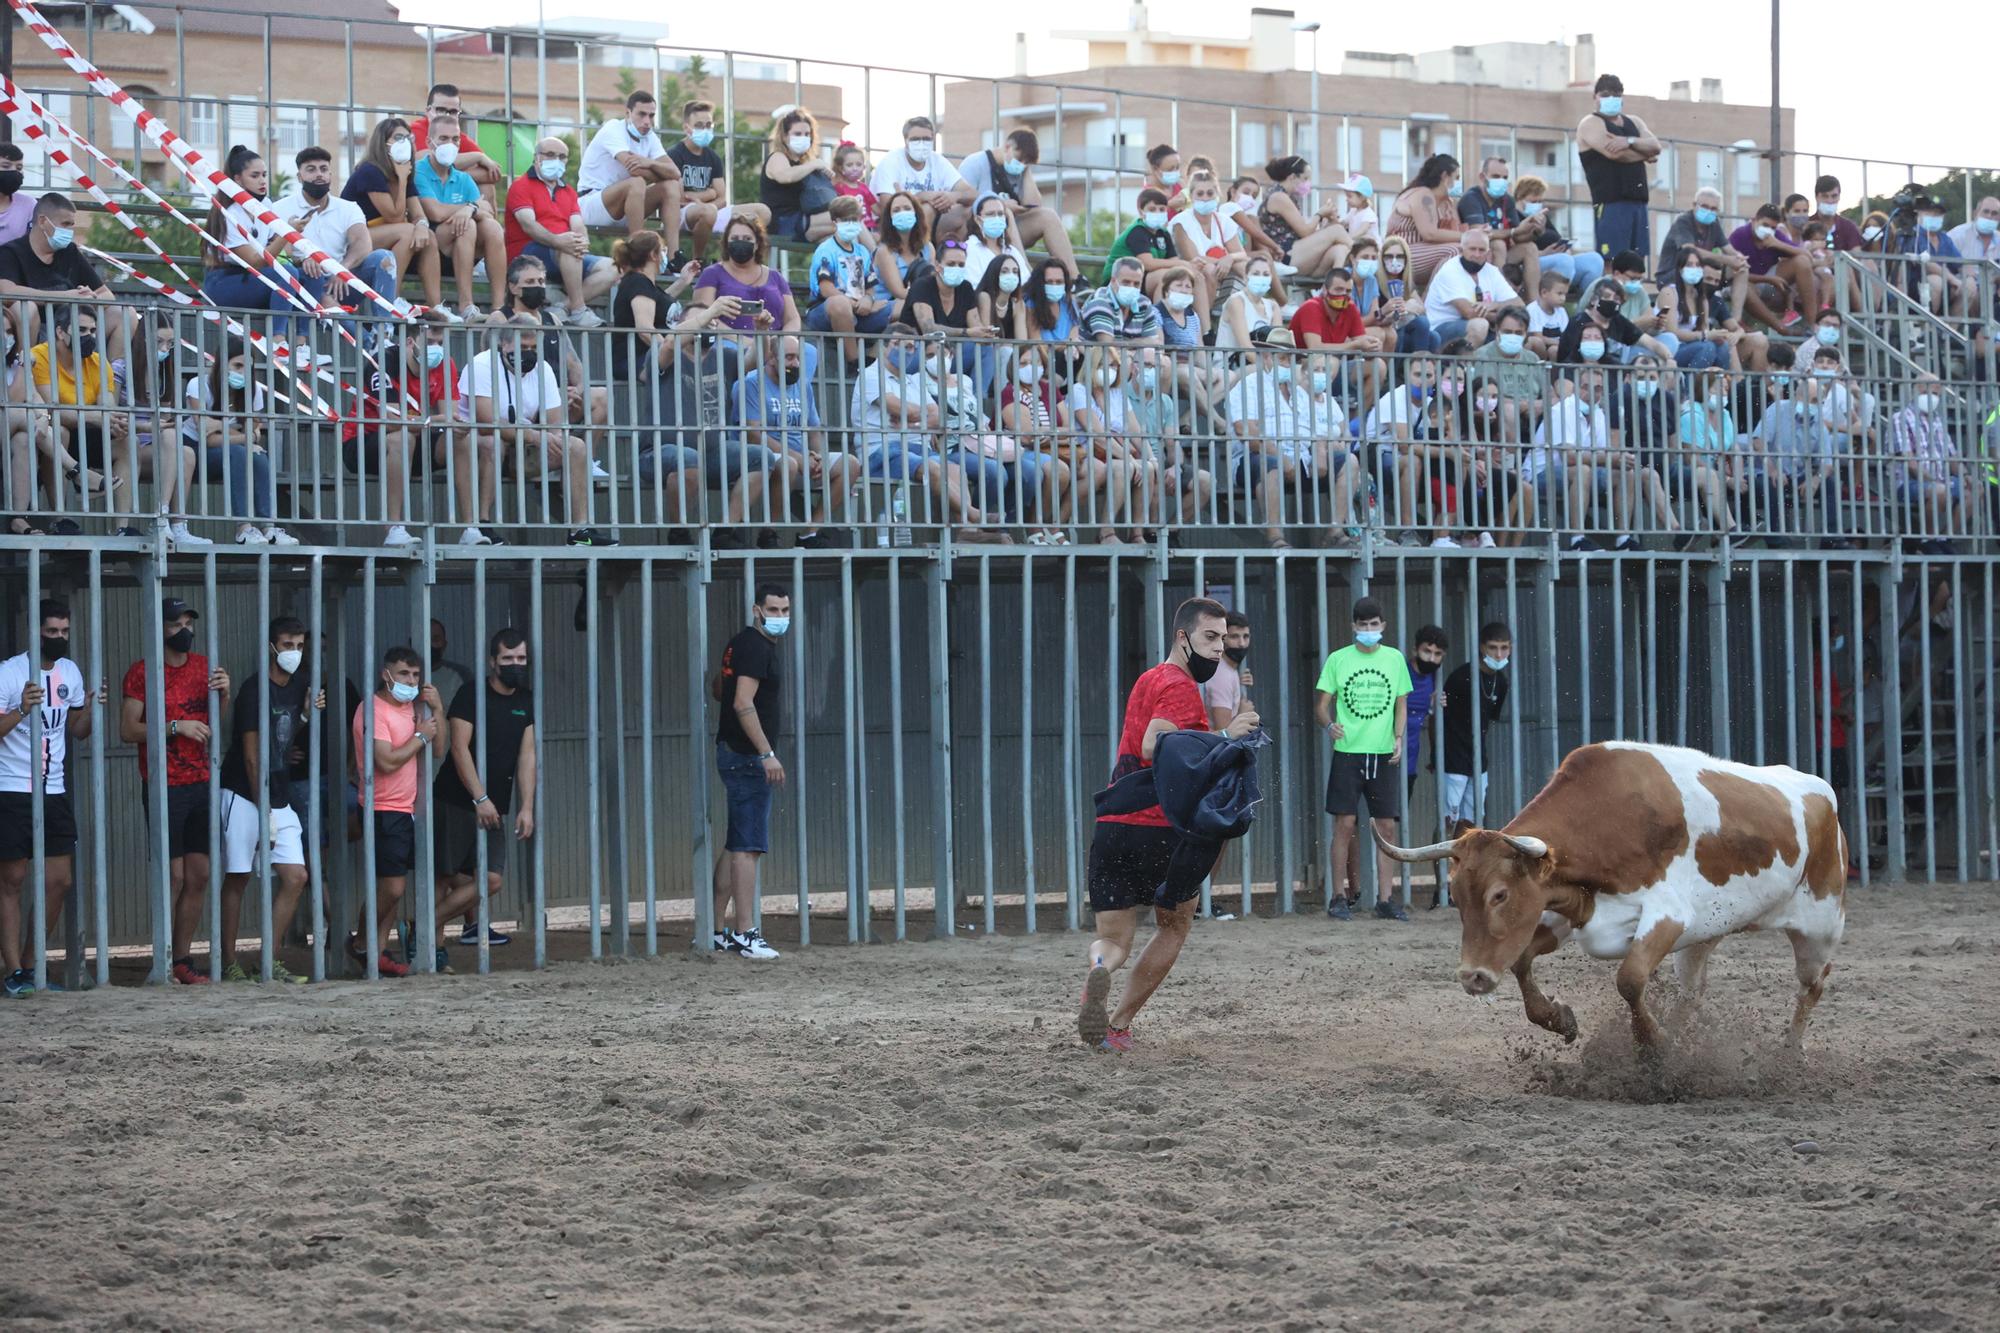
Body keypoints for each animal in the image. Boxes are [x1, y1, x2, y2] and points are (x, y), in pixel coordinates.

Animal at [1376, 736, 1840, 1048]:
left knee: (1812, 985)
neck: (1614, 819)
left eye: (1499, 895)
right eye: (1455, 895)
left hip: (1820, 926)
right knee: (1693, 992)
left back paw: (1788, 1052)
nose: (1472, 977)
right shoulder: (1569, 909)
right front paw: (1560, 1019)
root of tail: (1822, 793)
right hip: (1705, 936)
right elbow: (1522, 960)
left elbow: (1630, 980)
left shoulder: (1668, 915)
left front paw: (1654, 1046)